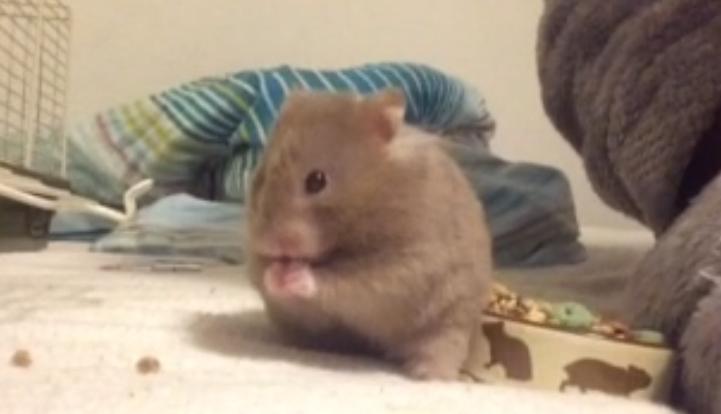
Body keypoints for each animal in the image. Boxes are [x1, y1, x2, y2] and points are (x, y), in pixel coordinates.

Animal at [245, 88, 493, 380]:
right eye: (260, 178)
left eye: (316, 180)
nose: (268, 242)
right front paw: (274, 273)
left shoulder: (403, 267)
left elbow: (342, 281)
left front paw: (293, 275)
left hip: (451, 321)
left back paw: (425, 374)